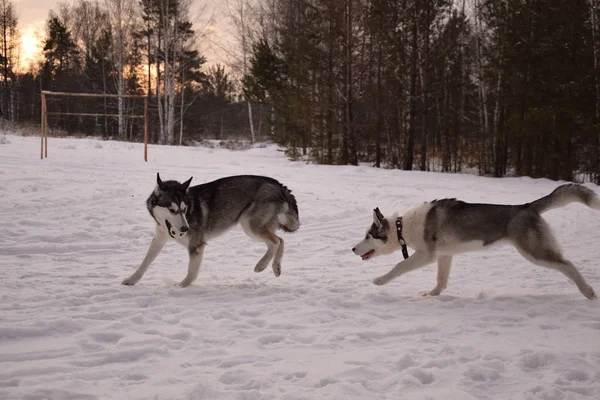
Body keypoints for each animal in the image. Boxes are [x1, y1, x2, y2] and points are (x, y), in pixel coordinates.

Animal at [122, 173, 300, 286]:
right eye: (172, 210)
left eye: (184, 209)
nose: (185, 228)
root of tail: (278, 185)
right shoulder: (159, 239)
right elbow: (145, 262)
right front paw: (132, 279)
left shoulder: (196, 246)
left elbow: (191, 272)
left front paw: (182, 286)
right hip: (254, 226)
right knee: (280, 240)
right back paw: (274, 267)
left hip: (249, 225)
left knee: (276, 241)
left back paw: (263, 265)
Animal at [352, 183, 600, 298]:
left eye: (368, 236)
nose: (353, 248)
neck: (402, 227)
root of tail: (527, 207)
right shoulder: (444, 256)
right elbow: (441, 281)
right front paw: (432, 295)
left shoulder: (426, 255)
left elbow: (398, 266)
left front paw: (380, 280)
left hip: (534, 252)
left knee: (567, 264)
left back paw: (587, 291)